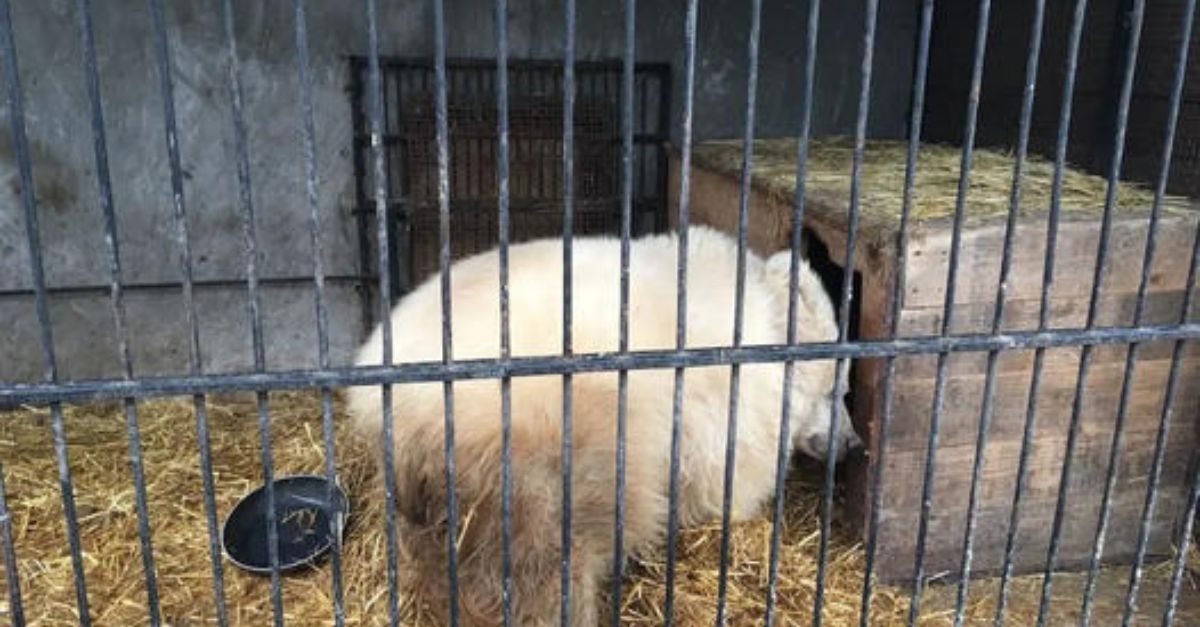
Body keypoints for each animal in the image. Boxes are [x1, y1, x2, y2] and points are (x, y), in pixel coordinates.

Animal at [343, 224, 859, 624]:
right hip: (539, 443)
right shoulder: (727, 413)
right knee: (544, 560)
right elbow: (723, 488)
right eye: (838, 389)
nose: (853, 444)